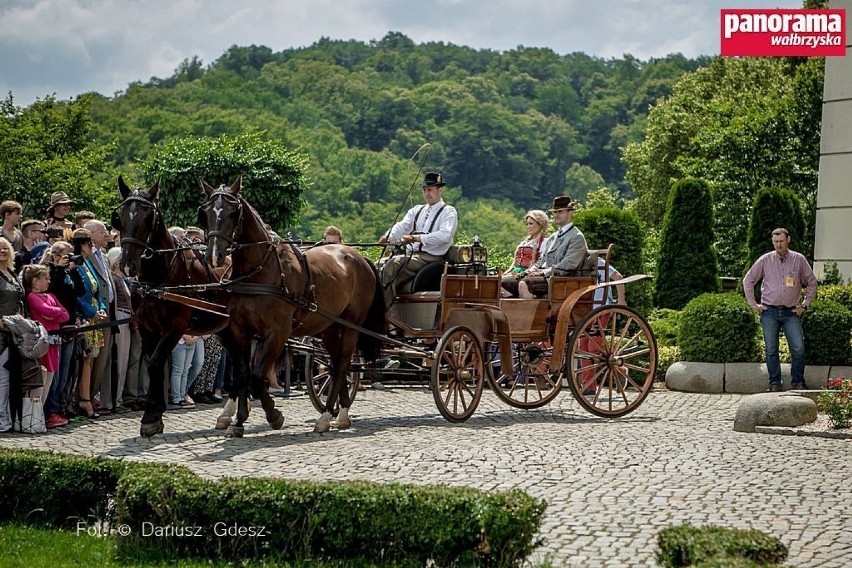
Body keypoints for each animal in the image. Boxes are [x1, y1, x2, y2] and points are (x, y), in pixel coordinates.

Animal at [111, 180, 284, 438]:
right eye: (120, 217)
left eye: (148, 216)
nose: (127, 264)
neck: (161, 275)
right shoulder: (146, 327)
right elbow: (155, 365)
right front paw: (154, 414)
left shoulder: (175, 326)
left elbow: (155, 363)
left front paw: (151, 416)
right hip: (228, 330)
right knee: (241, 369)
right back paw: (230, 414)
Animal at [198, 179, 384, 434]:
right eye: (206, 212)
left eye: (233, 212)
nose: (213, 255)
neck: (259, 271)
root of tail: (357, 255)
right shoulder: (239, 331)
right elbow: (243, 374)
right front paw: (238, 420)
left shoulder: (277, 333)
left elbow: (256, 376)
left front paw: (273, 415)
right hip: (329, 327)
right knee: (339, 365)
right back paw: (341, 414)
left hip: (350, 326)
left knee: (342, 366)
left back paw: (327, 416)